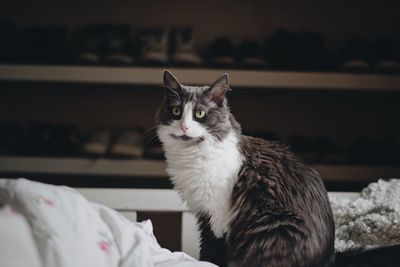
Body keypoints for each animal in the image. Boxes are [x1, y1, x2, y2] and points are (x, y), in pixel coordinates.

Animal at [155, 70, 400, 266]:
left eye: (200, 114)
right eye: (176, 112)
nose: (184, 127)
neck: (192, 155)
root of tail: (330, 260)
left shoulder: (217, 215)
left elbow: (211, 252)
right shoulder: (204, 213)